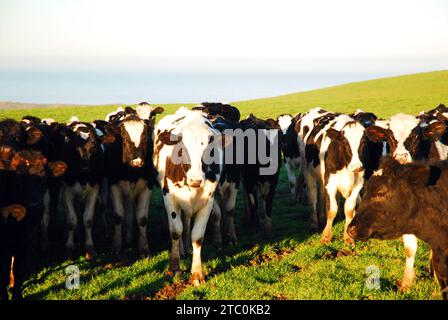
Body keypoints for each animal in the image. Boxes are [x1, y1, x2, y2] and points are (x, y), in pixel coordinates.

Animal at [102, 103, 164, 258]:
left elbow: (142, 218)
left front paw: (144, 248)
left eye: (144, 139)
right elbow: (118, 216)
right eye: (124, 139)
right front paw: (116, 246)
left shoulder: (147, 185)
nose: (137, 162)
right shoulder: (114, 185)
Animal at [154, 107, 231, 284]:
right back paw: (182, 251)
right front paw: (174, 267)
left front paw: (197, 273)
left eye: (210, 151)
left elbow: (197, 236)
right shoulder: (169, 197)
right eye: (181, 150)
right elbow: (176, 231)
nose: (196, 180)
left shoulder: (208, 201)